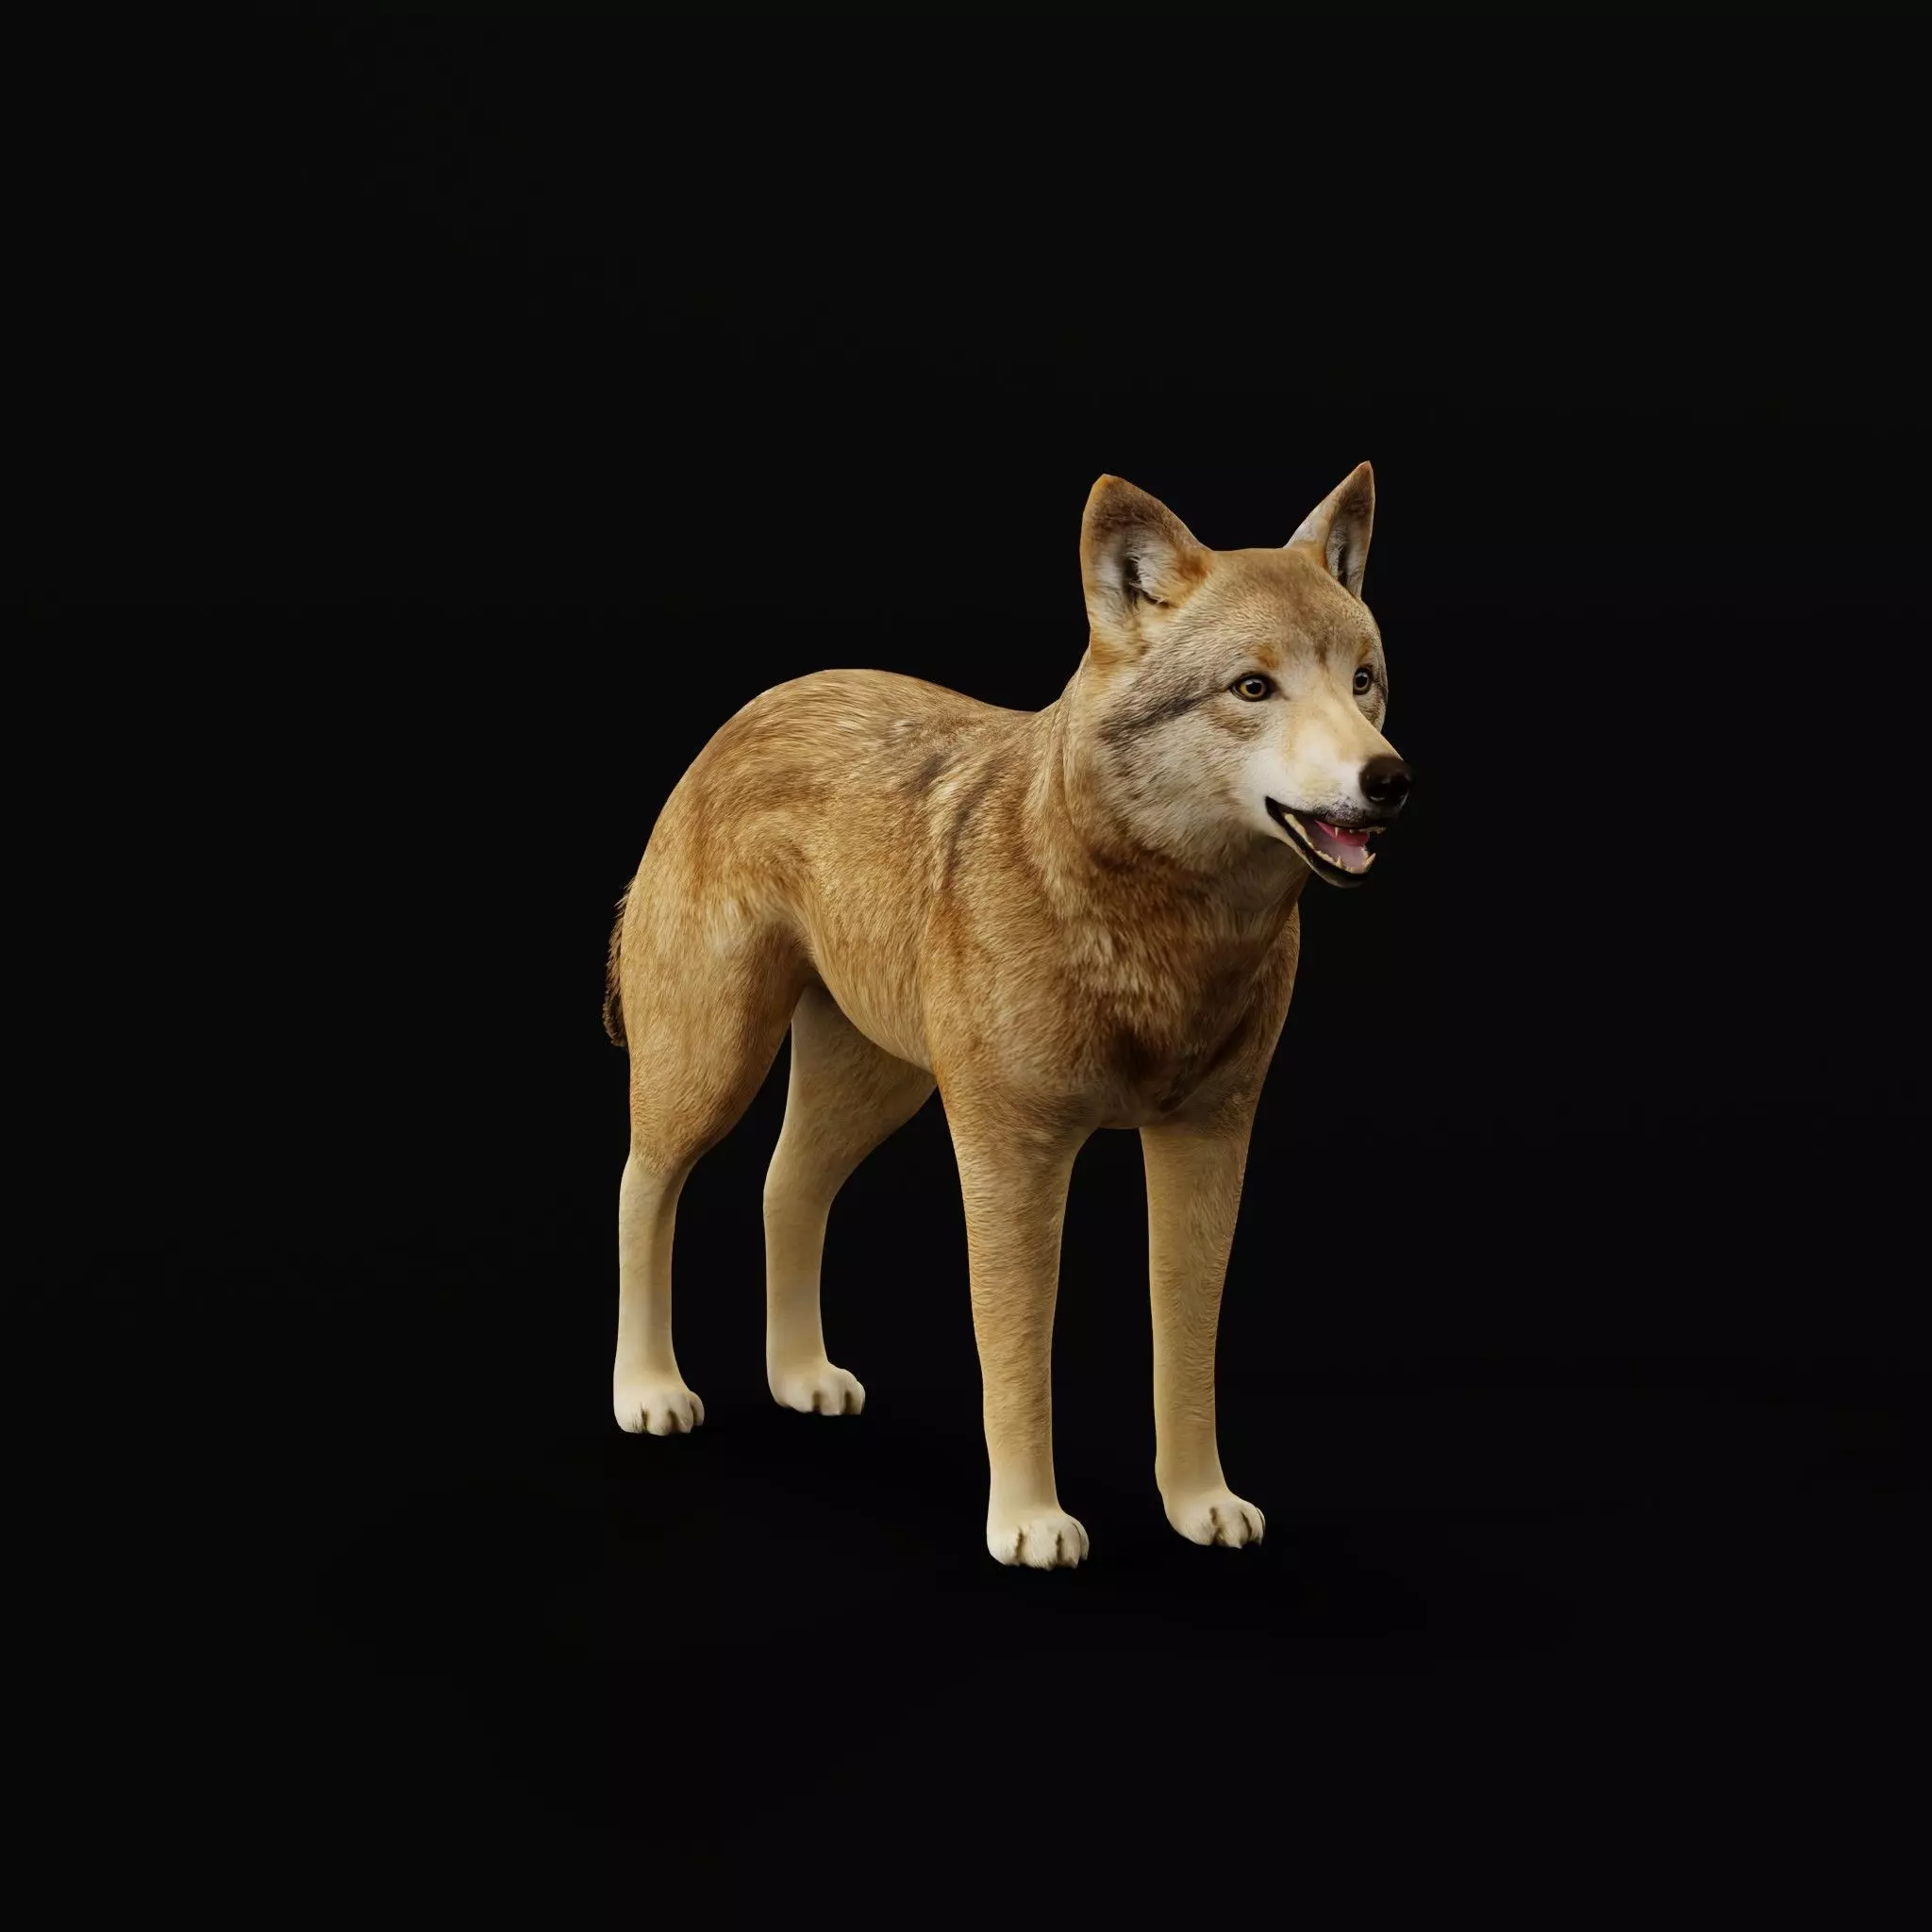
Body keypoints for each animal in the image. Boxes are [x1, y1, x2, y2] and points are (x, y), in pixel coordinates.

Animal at [602, 465, 1412, 1566]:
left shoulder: (1211, 1142)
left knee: (783, 1187)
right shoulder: (1010, 1152)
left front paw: (1198, 1503)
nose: (1389, 779)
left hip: (874, 1088)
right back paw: (648, 1391)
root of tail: (755, 706)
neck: (1166, 931)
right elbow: (1018, 1355)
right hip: (714, 1065)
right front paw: (1029, 1522)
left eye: (1362, 680)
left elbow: (1185, 1347)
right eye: (1253, 689)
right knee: (643, 1186)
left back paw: (800, 1376)